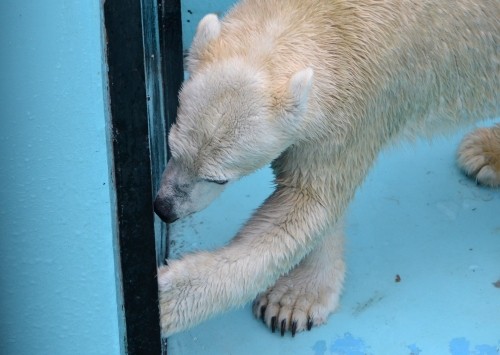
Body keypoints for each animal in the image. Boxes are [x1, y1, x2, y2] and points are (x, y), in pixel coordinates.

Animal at [154, 0, 498, 338]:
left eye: (218, 178)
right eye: (172, 148)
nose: (164, 208)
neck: (319, 17)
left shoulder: (360, 106)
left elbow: (304, 207)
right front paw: (296, 297)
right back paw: (484, 153)